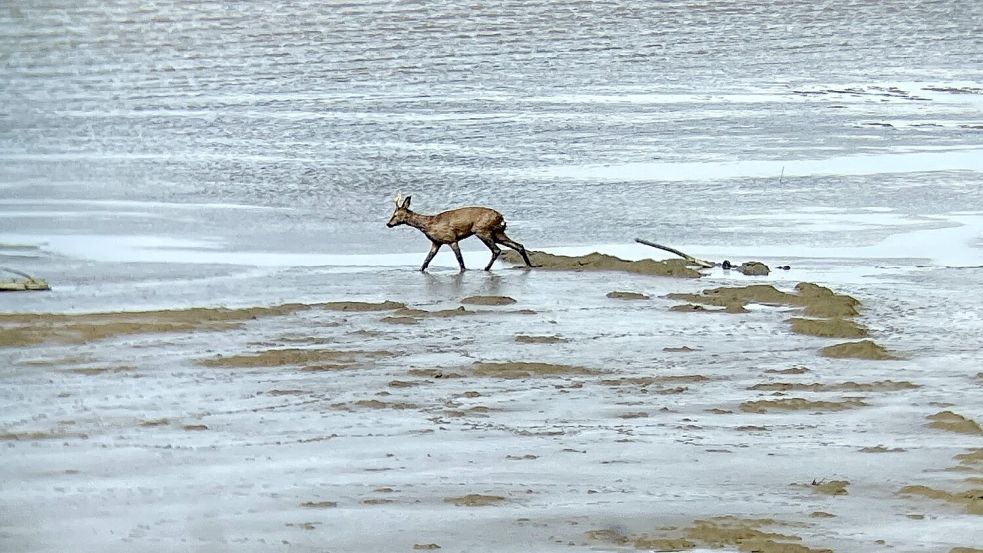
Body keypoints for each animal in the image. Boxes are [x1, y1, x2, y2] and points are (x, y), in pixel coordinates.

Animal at [386, 193, 540, 272]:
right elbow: (427, 260)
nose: (388, 224)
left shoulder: (451, 238)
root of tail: (501, 217)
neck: (428, 224)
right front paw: (419, 270)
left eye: (395, 214)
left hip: (482, 230)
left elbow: (459, 258)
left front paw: (464, 270)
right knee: (519, 245)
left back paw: (486, 268)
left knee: (496, 250)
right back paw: (530, 265)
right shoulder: (436, 242)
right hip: (498, 233)